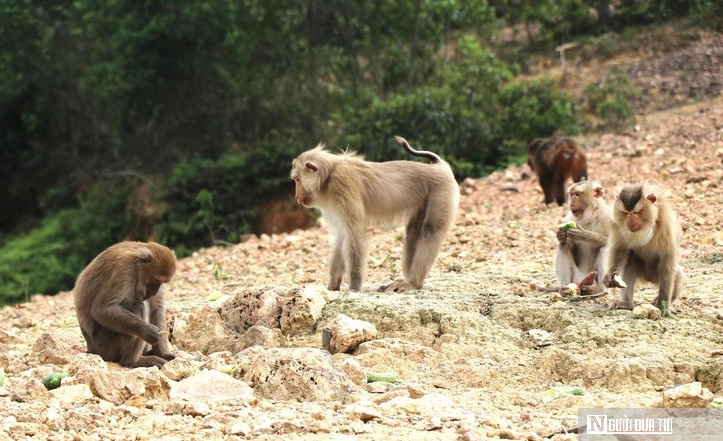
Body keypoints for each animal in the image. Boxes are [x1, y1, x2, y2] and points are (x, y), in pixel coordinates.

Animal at [288, 134, 458, 292]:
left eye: (297, 180)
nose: (296, 196)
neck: (327, 178)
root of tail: (440, 166)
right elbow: (343, 234)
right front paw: (333, 284)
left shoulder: (342, 184)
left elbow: (354, 232)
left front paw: (354, 286)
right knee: (413, 232)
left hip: (442, 191)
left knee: (431, 231)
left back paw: (413, 283)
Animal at [604, 182, 688, 310]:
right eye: (626, 213)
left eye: (636, 212)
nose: (630, 224)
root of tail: (649, 278)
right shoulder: (615, 223)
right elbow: (619, 249)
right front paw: (609, 275)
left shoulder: (665, 223)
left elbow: (668, 257)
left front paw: (662, 303)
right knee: (630, 260)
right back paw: (627, 304)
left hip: (656, 274)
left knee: (677, 276)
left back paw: (669, 298)